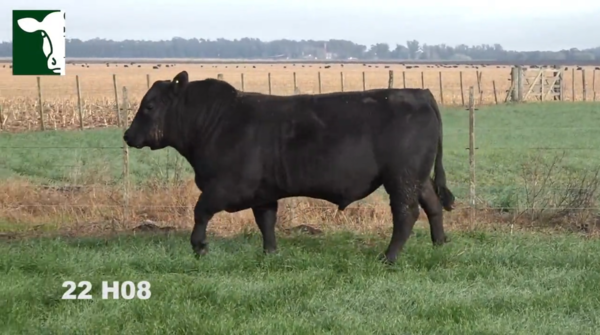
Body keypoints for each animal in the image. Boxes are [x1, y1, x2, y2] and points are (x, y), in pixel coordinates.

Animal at [124, 71, 458, 266]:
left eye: (149, 106)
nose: (127, 135)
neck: (216, 122)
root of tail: (420, 92)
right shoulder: (262, 192)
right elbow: (266, 221)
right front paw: (270, 254)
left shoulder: (226, 186)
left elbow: (200, 211)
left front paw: (200, 247)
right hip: (417, 177)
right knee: (432, 205)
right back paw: (440, 244)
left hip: (401, 178)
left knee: (406, 214)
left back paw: (388, 257)